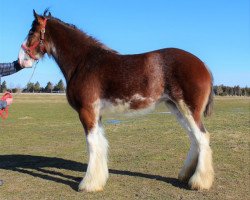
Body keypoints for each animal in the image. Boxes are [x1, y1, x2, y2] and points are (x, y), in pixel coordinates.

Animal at [17, 10, 214, 192]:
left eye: (32, 31)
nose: (21, 59)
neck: (83, 62)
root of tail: (202, 65)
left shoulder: (87, 111)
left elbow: (92, 144)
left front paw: (88, 184)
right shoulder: (96, 114)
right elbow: (101, 143)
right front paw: (99, 179)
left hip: (189, 110)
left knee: (202, 137)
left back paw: (199, 182)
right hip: (176, 108)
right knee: (194, 139)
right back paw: (186, 175)